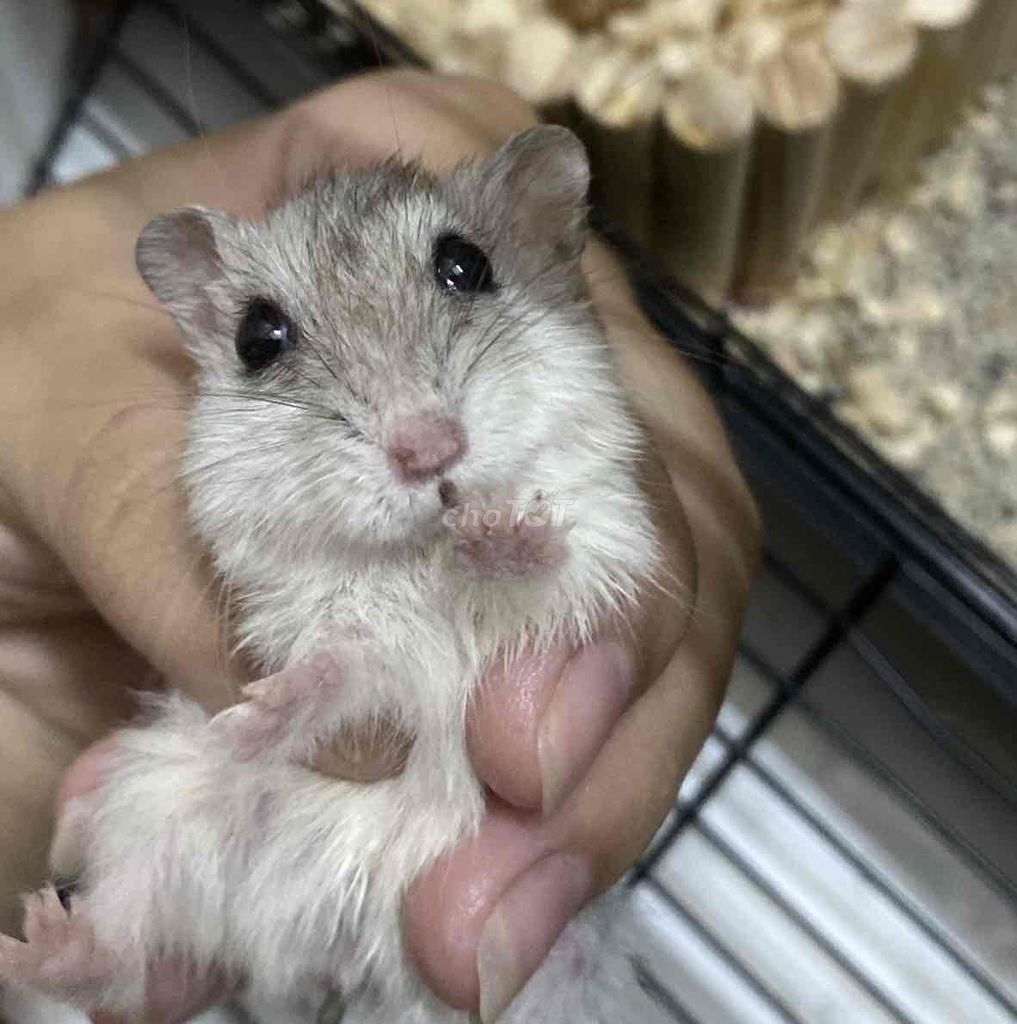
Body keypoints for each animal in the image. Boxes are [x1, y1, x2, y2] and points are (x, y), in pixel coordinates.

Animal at [0, 125, 661, 1023]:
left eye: (465, 265)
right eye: (258, 338)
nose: (429, 451)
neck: (417, 558)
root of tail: (330, 966)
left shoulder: (603, 543)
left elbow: (544, 567)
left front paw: (496, 531)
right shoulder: (325, 617)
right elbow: (336, 668)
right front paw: (254, 716)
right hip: (153, 807)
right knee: (129, 960)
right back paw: (41, 946)